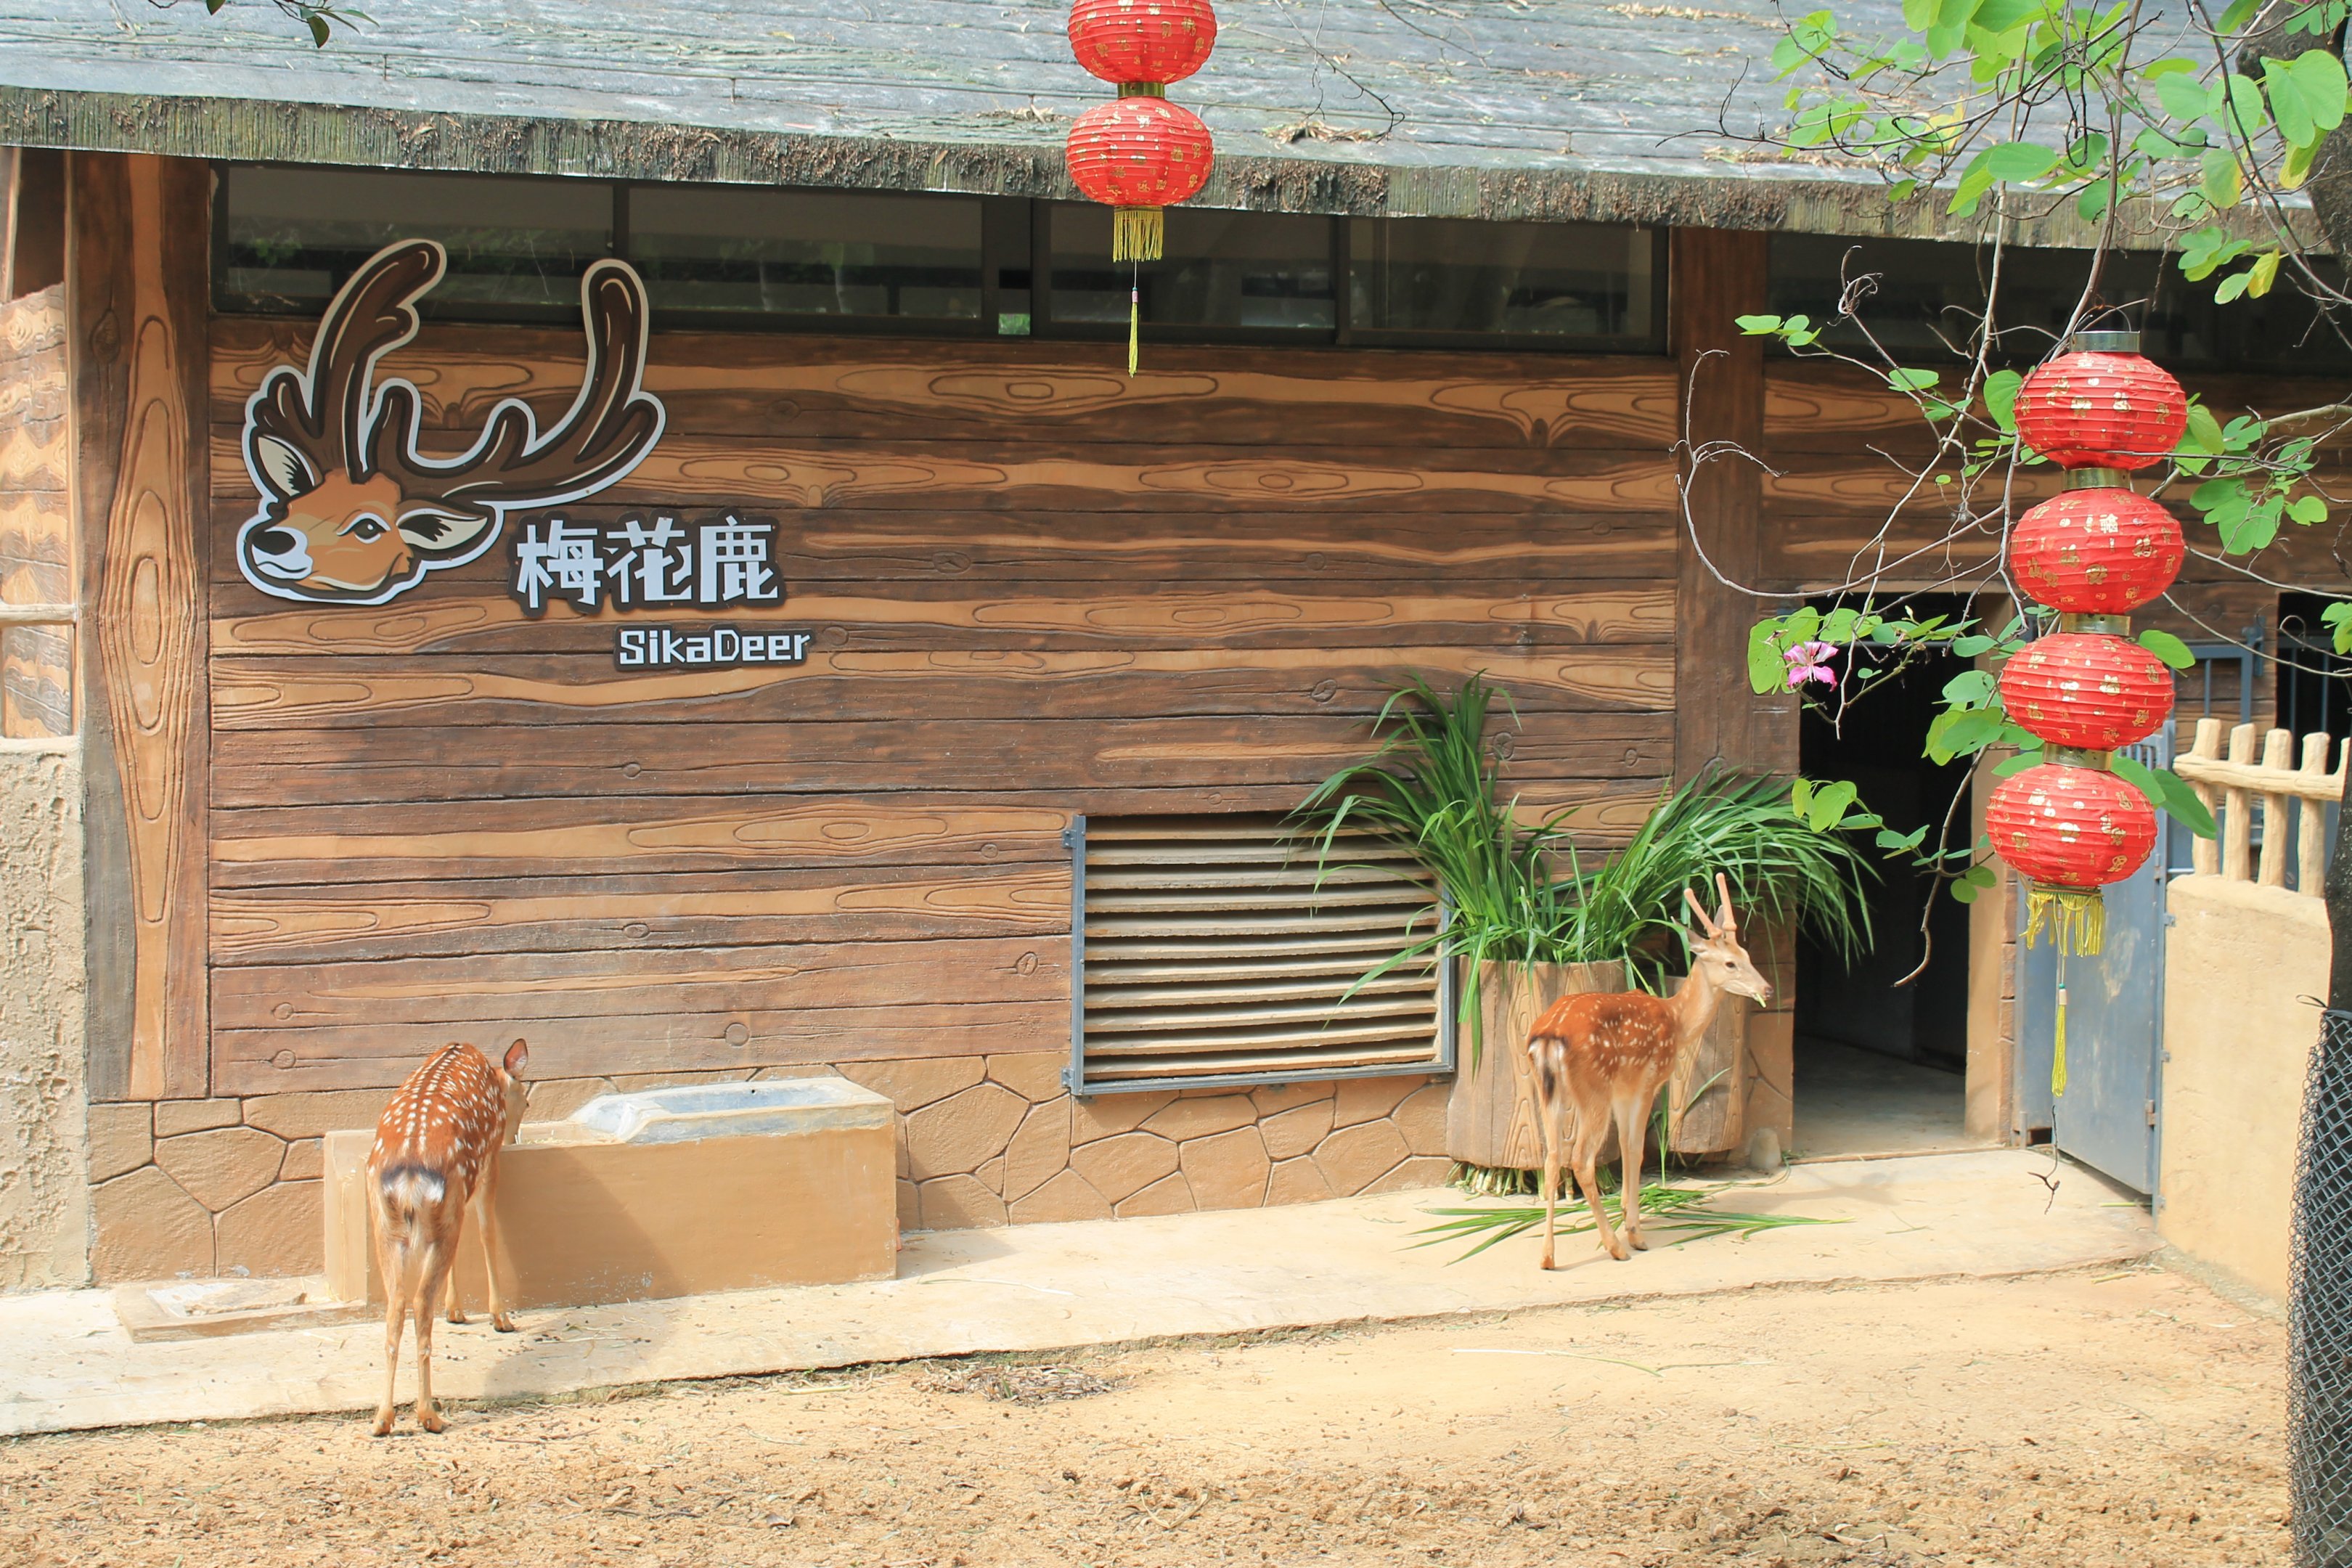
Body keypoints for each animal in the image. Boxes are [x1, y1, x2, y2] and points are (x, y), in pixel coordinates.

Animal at [366, 1038, 530, 1437]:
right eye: (527, 1101)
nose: (513, 1136)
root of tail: (410, 1175)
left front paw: (455, 1311)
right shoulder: (487, 1164)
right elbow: (487, 1233)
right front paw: (500, 1317)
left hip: (387, 1226)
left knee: (396, 1304)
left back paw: (382, 1418)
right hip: (446, 1198)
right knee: (420, 1303)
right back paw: (429, 1415)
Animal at [1520, 873, 1771, 1268]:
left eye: (1747, 956)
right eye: (1730, 963)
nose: (1767, 989)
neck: (1677, 1021)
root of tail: (1549, 1037)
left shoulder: (1626, 1090)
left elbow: (1627, 1147)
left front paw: (1630, 1216)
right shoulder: (1646, 1083)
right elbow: (1636, 1149)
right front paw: (1635, 1231)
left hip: (1547, 1089)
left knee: (1551, 1157)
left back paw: (1548, 1256)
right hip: (1594, 1089)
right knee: (1581, 1160)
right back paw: (1616, 1247)